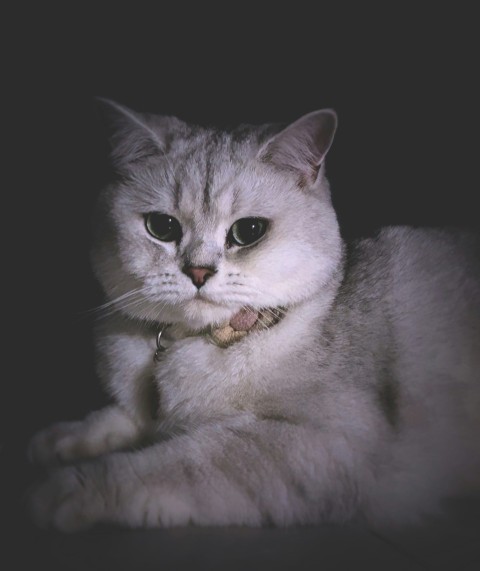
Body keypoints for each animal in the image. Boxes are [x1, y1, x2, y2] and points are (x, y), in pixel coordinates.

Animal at [27, 98, 480, 532]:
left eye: (248, 232)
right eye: (161, 227)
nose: (198, 272)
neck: (193, 342)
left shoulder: (329, 441)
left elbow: (175, 462)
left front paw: (70, 490)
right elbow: (117, 419)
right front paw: (60, 442)